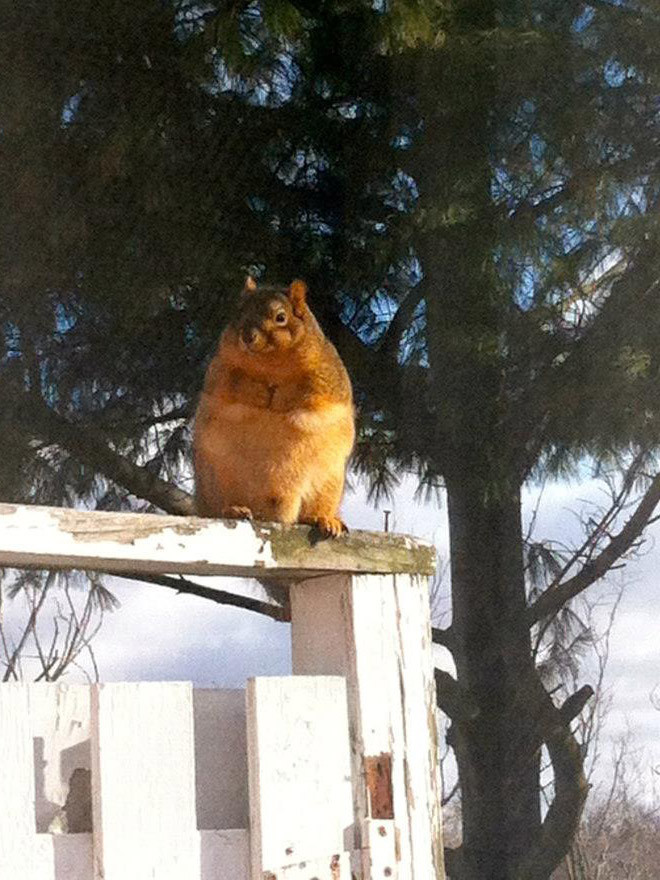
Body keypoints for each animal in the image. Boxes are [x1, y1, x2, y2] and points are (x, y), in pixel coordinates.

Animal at [192, 276, 356, 536]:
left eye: (281, 317)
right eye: (239, 312)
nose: (247, 337)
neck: (271, 366)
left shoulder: (327, 380)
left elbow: (309, 393)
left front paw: (281, 396)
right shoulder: (220, 373)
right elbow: (237, 386)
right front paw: (260, 393)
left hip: (326, 480)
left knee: (313, 509)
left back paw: (324, 519)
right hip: (216, 479)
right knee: (221, 506)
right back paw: (233, 510)